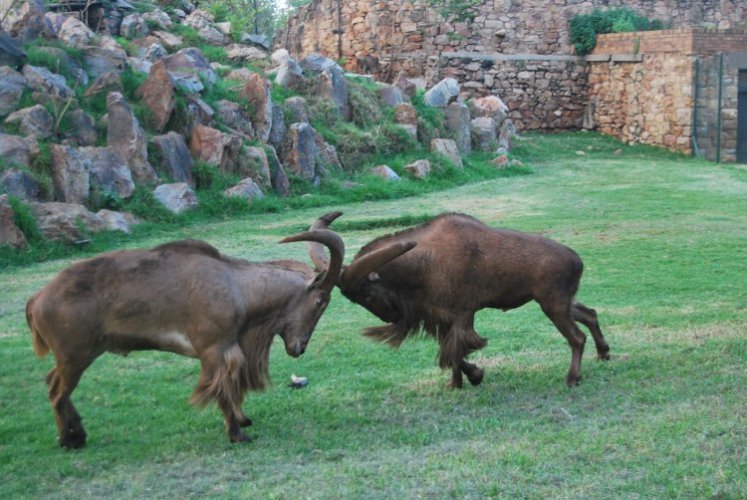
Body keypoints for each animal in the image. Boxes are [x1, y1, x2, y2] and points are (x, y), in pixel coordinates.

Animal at [25, 229, 348, 448]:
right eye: (320, 301)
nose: (299, 348)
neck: (237, 288)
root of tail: (37, 300)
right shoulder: (215, 350)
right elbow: (224, 390)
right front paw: (238, 434)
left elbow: (233, 388)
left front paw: (243, 420)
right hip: (74, 355)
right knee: (57, 392)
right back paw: (70, 440)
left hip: (76, 356)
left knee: (53, 384)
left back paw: (76, 434)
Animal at [306, 213, 612, 388]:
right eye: (354, 300)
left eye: (368, 292)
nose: (389, 317)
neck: (427, 260)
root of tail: (577, 260)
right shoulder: (441, 318)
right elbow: (451, 352)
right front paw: (459, 382)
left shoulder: (462, 315)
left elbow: (454, 350)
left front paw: (474, 376)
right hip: (561, 302)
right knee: (590, 314)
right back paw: (604, 353)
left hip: (553, 304)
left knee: (577, 338)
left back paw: (573, 379)